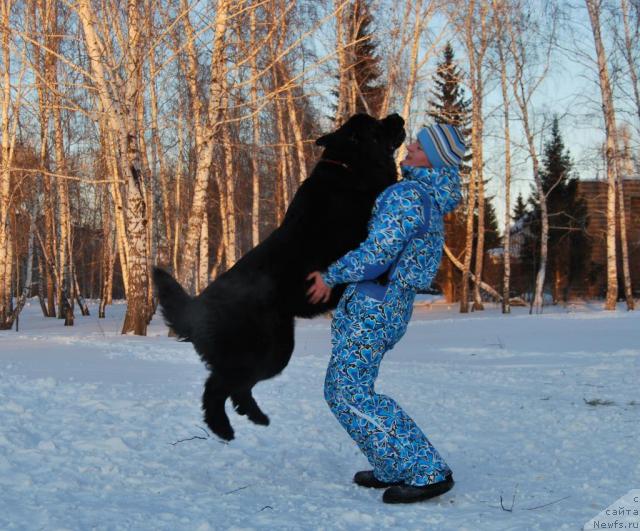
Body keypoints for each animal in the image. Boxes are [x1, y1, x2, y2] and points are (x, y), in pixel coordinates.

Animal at [154, 114, 404, 442]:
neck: (349, 168)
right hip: (263, 351)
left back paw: (255, 417)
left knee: (235, 388)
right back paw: (223, 428)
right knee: (217, 387)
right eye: (377, 126)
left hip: (275, 347)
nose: (397, 117)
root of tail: (195, 309)